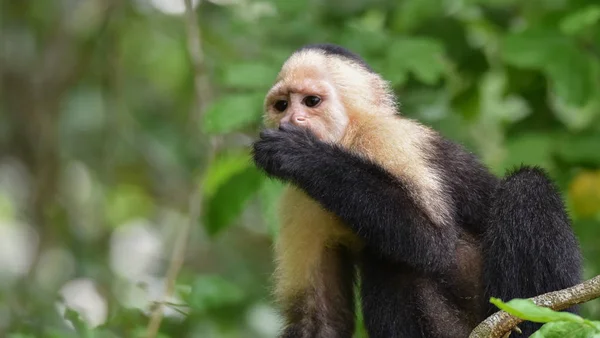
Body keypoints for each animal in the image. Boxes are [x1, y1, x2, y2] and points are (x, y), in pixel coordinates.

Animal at [252, 43, 580, 336]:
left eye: (311, 101)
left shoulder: (387, 139)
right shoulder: (298, 202)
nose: (291, 119)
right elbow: (318, 319)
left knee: (526, 187)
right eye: (281, 105)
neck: (346, 141)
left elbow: (431, 241)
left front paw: (299, 153)